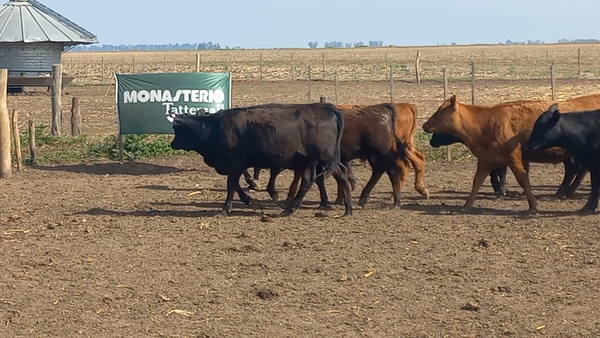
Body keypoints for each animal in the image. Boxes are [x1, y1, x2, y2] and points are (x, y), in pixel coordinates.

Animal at [170, 101, 352, 217]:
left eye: (176, 128)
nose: (172, 143)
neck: (215, 128)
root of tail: (327, 108)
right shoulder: (237, 165)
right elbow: (237, 184)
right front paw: (249, 200)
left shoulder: (234, 163)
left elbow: (231, 185)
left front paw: (225, 209)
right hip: (309, 161)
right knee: (308, 182)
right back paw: (291, 209)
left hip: (325, 157)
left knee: (341, 176)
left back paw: (348, 209)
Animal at [422, 93, 600, 213]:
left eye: (440, 112)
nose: (424, 125)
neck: (486, 122)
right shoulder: (486, 159)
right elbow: (477, 181)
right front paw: (467, 205)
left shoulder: (513, 157)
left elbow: (522, 178)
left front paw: (532, 205)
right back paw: (565, 193)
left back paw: (566, 193)